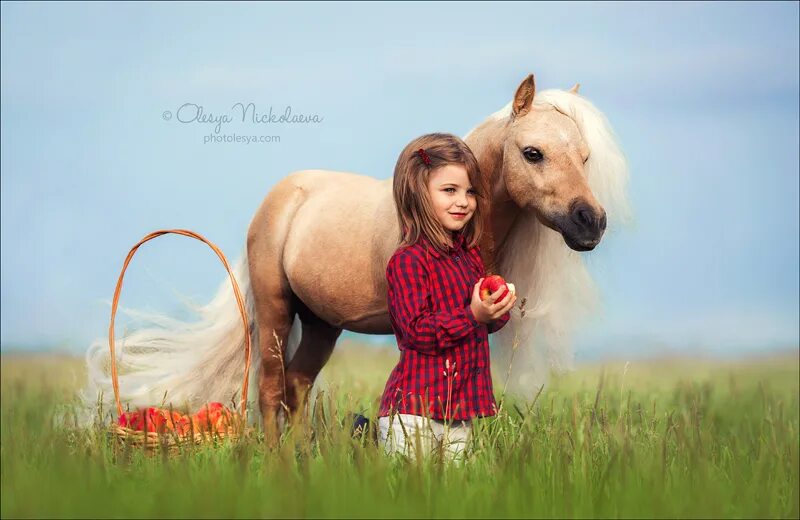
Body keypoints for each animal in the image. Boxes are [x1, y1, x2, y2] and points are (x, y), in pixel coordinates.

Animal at [81, 74, 632, 438]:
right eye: (532, 153)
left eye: (585, 158)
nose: (591, 222)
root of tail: (282, 196)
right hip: (276, 312)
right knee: (270, 390)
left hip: (322, 323)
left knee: (297, 387)